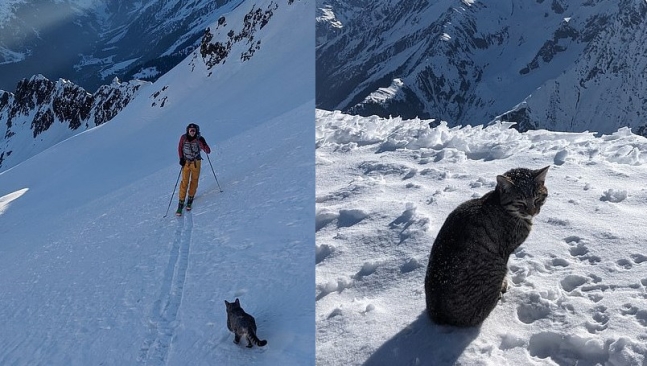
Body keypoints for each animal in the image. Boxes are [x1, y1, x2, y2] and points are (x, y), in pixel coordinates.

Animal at [426, 166, 552, 326]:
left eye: (537, 199)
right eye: (520, 203)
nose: (532, 212)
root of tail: (439, 317)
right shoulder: (506, 251)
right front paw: (504, 284)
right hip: (497, 267)